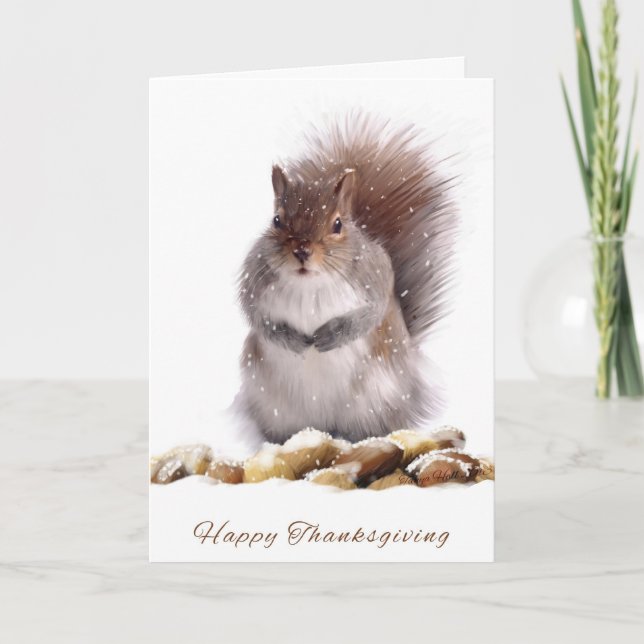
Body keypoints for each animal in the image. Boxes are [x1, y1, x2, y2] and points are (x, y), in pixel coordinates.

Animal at [234, 112, 458, 444]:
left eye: (338, 224)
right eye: (276, 220)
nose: (302, 251)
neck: (309, 282)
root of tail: (324, 424)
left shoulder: (376, 276)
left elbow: (372, 313)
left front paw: (331, 335)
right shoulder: (253, 278)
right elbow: (256, 316)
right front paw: (292, 339)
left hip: (377, 400)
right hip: (273, 407)